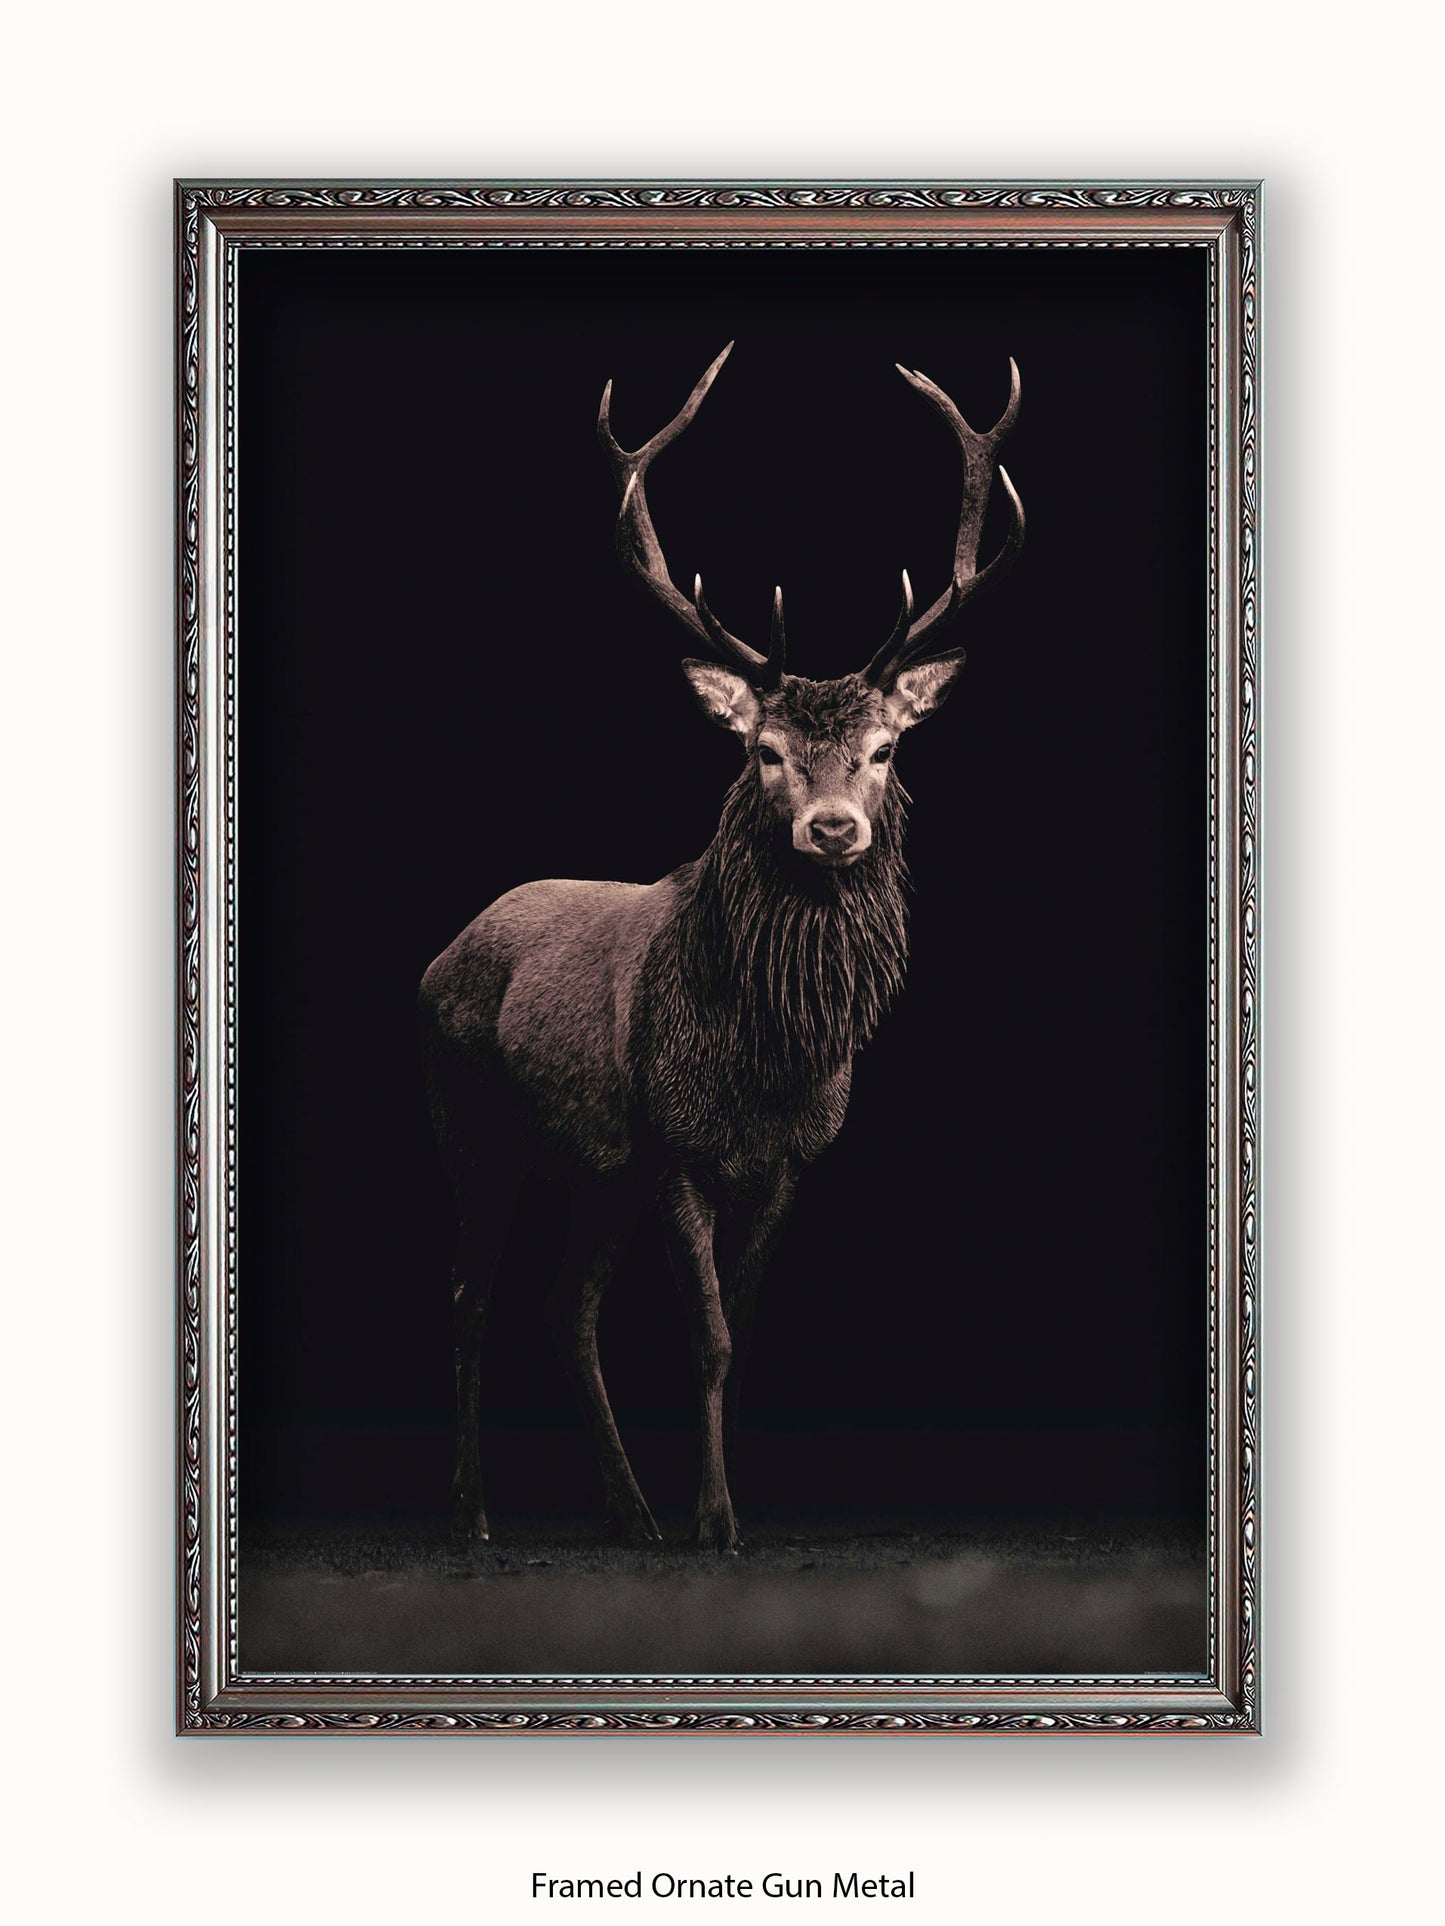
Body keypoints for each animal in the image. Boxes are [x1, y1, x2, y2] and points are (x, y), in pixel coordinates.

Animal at [419, 342, 1024, 1552]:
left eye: (884, 749)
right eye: (764, 751)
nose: (831, 829)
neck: (764, 1064)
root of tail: (438, 957)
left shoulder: (785, 1163)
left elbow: (739, 1341)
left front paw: (717, 1501)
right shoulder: (673, 1148)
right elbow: (703, 1333)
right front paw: (714, 1519)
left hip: (591, 1166)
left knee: (565, 1304)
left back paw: (627, 1509)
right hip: (474, 1122)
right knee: (471, 1295)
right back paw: (475, 1512)